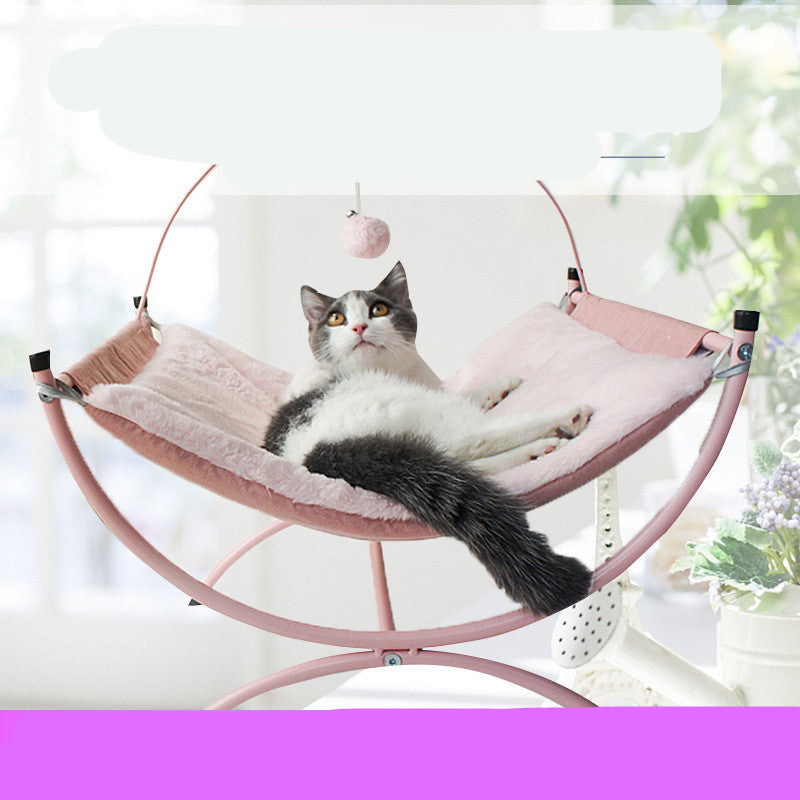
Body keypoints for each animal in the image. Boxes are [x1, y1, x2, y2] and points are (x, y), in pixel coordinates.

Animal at [264, 260, 592, 612]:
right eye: (337, 318)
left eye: (378, 309)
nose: (360, 328)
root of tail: (315, 452)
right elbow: (470, 411)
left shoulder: (435, 390)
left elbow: (469, 395)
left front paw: (502, 384)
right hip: (405, 406)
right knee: (475, 439)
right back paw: (565, 420)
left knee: (457, 459)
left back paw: (538, 450)